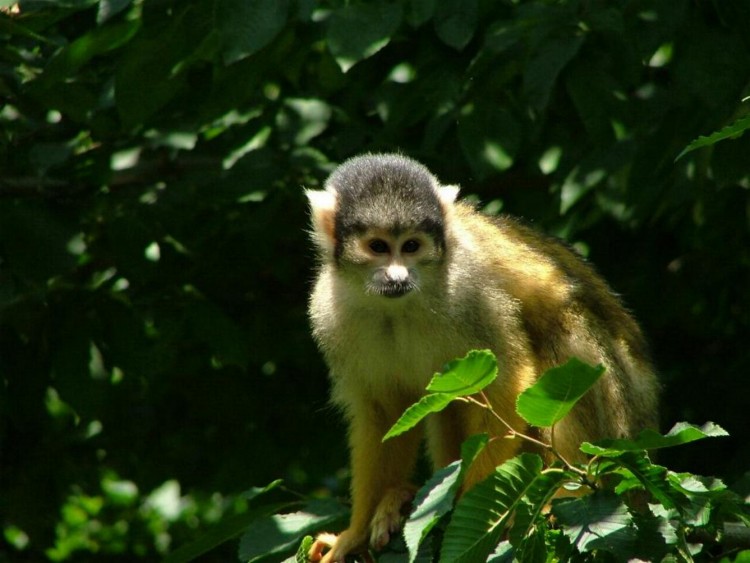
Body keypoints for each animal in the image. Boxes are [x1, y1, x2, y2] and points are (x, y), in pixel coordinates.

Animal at [304, 153, 656, 563]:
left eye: (411, 246)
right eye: (378, 247)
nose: (397, 277)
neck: (398, 305)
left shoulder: (470, 294)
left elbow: (506, 387)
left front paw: (466, 509)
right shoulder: (330, 310)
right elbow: (384, 412)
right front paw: (353, 536)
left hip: (618, 420)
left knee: (567, 335)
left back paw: (569, 499)